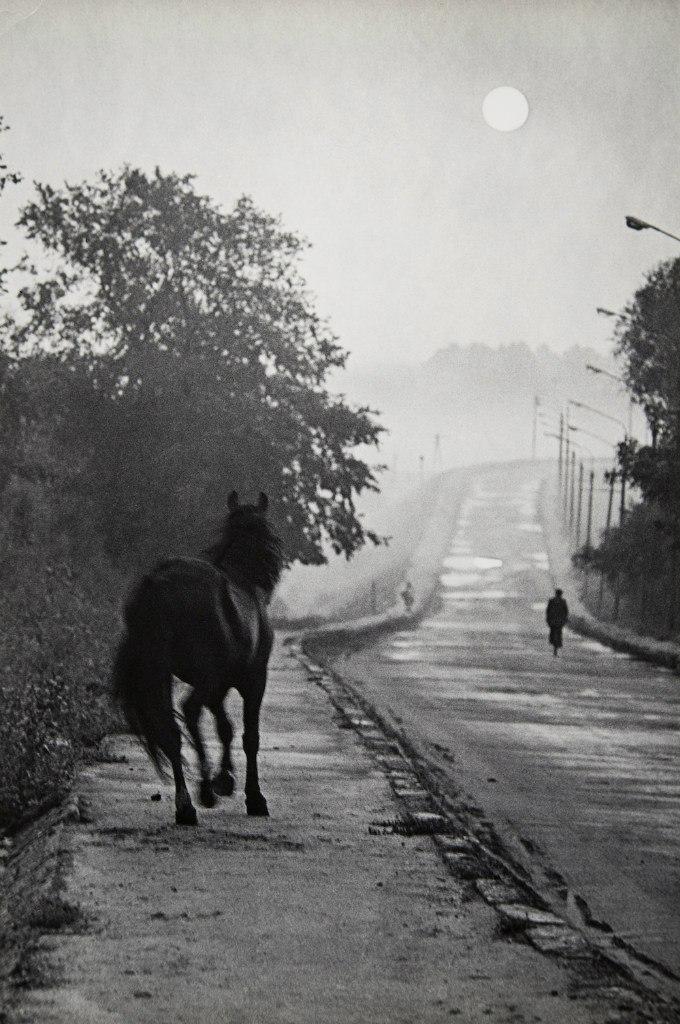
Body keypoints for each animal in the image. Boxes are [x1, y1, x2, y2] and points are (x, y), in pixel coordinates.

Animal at [112, 487, 282, 823]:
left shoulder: (218, 685)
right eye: (268, 532)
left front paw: (225, 779)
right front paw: (252, 796)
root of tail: (158, 584)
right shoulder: (253, 679)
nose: (273, 567)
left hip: (162, 673)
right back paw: (202, 792)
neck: (241, 578)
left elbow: (225, 728)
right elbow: (248, 736)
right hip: (203, 677)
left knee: (171, 732)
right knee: (189, 712)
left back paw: (186, 804)